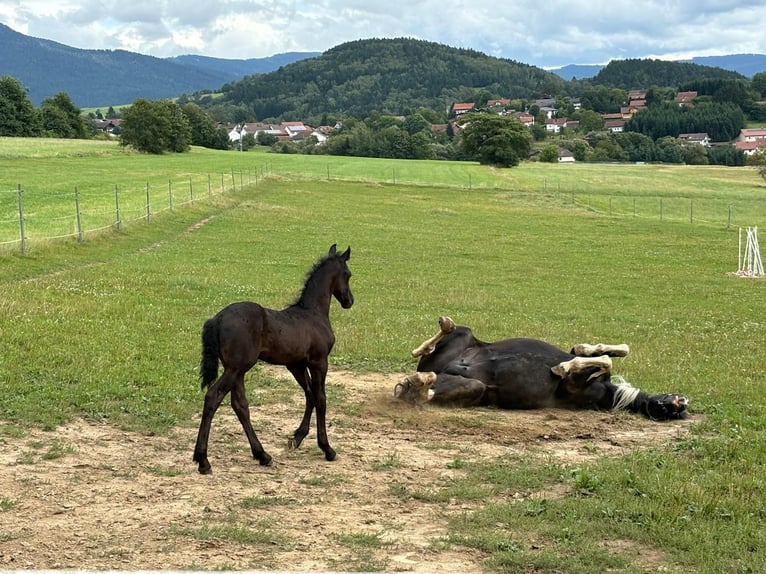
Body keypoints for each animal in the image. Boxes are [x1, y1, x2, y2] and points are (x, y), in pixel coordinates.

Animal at [195, 245, 356, 474]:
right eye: (348, 274)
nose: (349, 301)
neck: (313, 313)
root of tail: (217, 319)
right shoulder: (319, 362)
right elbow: (321, 398)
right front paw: (327, 449)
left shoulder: (296, 365)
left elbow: (310, 395)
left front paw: (297, 438)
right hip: (236, 368)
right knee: (213, 397)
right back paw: (203, 460)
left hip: (236, 369)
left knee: (240, 404)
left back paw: (262, 455)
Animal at [396, 318, 688, 420]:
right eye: (674, 402)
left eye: (673, 409)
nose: (683, 401)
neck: (609, 391)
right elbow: (608, 352)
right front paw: (569, 361)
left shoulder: (574, 386)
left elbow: (603, 360)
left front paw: (563, 367)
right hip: (465, 337)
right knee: (442, 339)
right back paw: (439, 332)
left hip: (474, 388)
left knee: (420, 393)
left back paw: (418, 382)